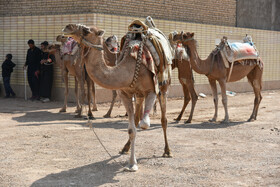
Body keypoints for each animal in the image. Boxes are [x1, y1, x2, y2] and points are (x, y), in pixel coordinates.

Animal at [63, 23, 172, 171]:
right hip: (139, 95)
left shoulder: (152, 90)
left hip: (163, 86)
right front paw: (132, 163)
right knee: (137, 117)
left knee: (163, 119)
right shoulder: (125, 94)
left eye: (86, 30)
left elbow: (144, 124)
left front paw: (133, 162)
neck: (129, 69)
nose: (67, 27)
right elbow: (132, 129)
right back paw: (125, 148)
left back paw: (167, 151)